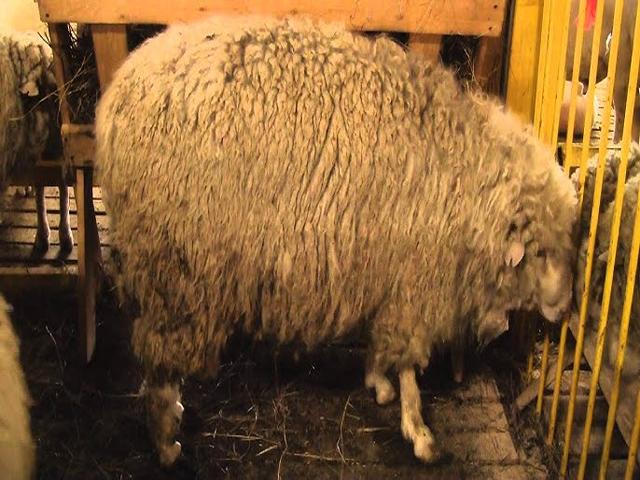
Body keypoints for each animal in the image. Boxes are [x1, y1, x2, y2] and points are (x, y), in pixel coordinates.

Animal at [94, 15, 579, 466]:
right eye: (539, 251)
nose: (565, 308)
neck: (467, 177)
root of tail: (118, 96)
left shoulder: (386, 272)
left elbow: (383, 347)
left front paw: (377, 383)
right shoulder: (413, 282)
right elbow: (408, 365)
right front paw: (419, 431)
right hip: (174, 267)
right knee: (159, 359)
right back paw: (166, 442)